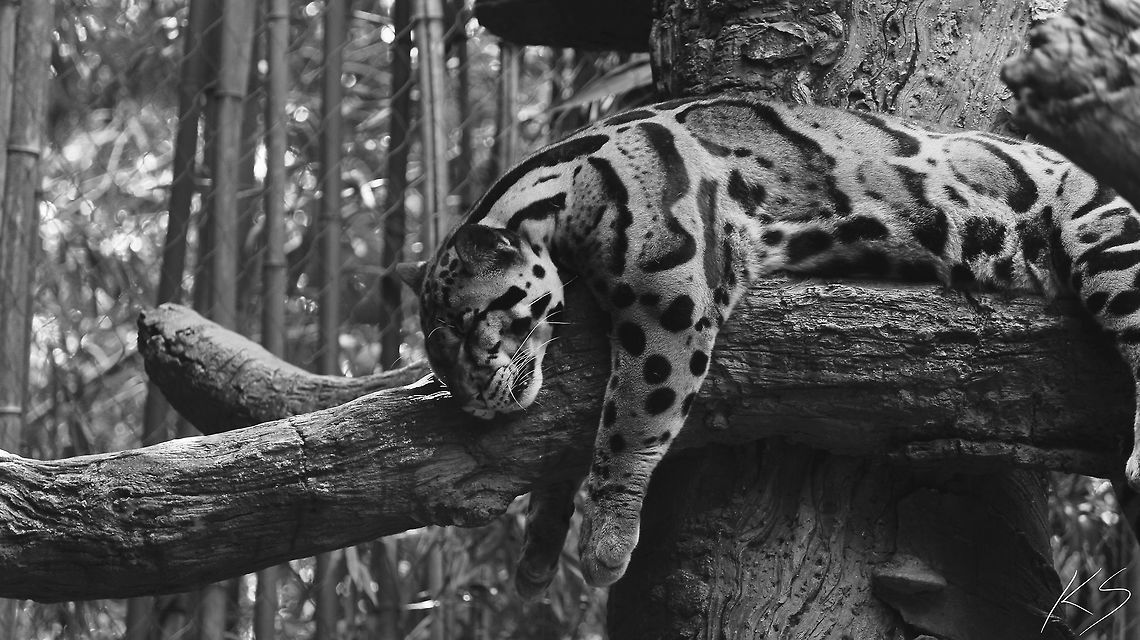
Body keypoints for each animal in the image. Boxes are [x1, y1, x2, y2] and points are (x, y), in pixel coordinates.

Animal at [397, 95, 1140, 595]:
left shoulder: (671, 291)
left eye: (464, 326)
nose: (470, 400)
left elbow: (633, 418)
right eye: (437, 353)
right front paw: (538, 551)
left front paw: (608, 534)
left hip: (1108, 235)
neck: (564, 178)